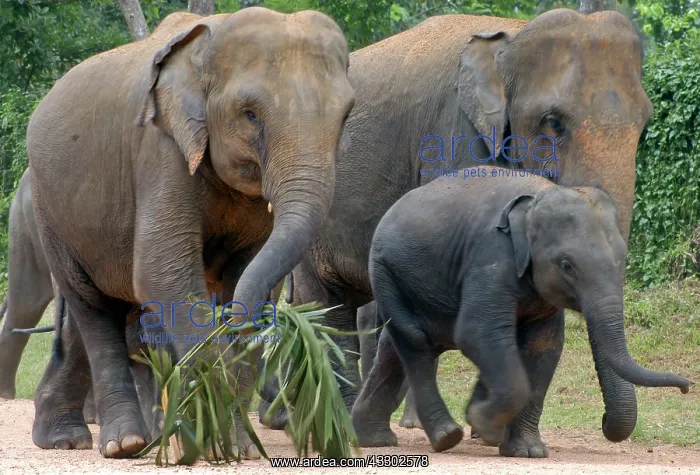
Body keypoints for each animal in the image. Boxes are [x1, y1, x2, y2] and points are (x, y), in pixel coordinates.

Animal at [25, 7, 353, 459]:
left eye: (346, 116)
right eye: (250, 114)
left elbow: (244, 276)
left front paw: (239, 447)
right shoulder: (160, 150)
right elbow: (162, 274)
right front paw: (214, 445)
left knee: (88, 314)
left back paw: (63, 439)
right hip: (50, 209)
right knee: (92, 308)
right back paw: (122, 445)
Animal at [265, 7, 658, 451]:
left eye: (644, 123)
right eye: (553, 122)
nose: (608, 425)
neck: (511, 37)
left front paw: (502, 437)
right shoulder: (454, 134)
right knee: (328, 308)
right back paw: (341, 425)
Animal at [352, 166, 692, 455]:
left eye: (622, 260)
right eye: (567, 266)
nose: (688, 386)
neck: (539, 197)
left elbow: (544, 347)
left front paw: (526, 451)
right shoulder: (491, 258)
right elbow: (477, 333)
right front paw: (483, 423)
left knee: (394, 347)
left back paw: (374, 439)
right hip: (385, 271)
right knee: (415, 343)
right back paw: (445, 436)